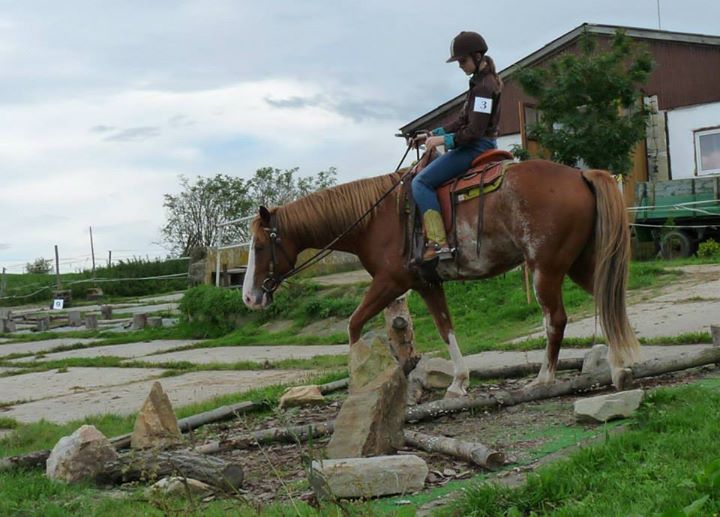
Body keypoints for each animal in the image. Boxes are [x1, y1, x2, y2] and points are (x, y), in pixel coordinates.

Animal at [243, 159, 640, 394]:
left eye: (260, 246)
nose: (249, 297)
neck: (375, 218)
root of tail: (580, 174)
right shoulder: (426, 284)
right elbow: (445, 327)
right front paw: (458, 383)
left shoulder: (390, 282)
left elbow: (354, 325)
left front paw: (359, 378)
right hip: (578, 264)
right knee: (608, 301)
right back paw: (619, 368)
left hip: (546, 268)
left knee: (555, 320)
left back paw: (544, 378)